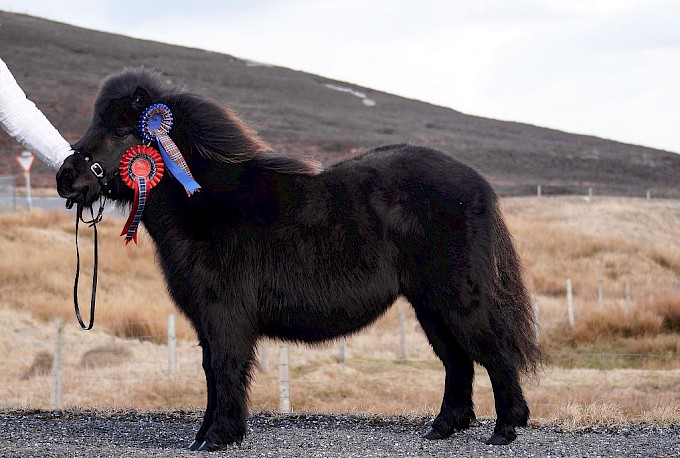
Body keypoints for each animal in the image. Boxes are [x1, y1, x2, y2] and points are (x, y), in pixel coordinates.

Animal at [59, 68, 540, 450]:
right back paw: (442, 427)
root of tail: (477, 184)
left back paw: (506, 428)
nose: (66, 178)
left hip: (458, 298)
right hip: (430, 305)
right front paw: (203, 435)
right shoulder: (206, 319)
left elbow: (226, 367)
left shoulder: (225, 314)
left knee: (494, 350)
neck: (208, 201)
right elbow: (211, 371)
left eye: (120, 132)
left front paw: (219, 437)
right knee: (457, 361)